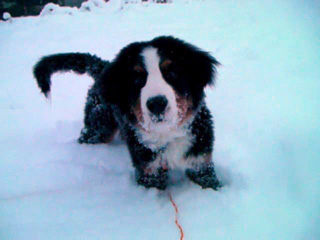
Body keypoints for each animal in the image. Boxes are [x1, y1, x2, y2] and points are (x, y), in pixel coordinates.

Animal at [33, 35, 222, 190]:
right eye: (137, 79)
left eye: (172, 73)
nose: (157, 104)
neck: (166, 135)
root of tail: (102, 66)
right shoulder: (148, 169)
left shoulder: (200, 161)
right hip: (99, 126)